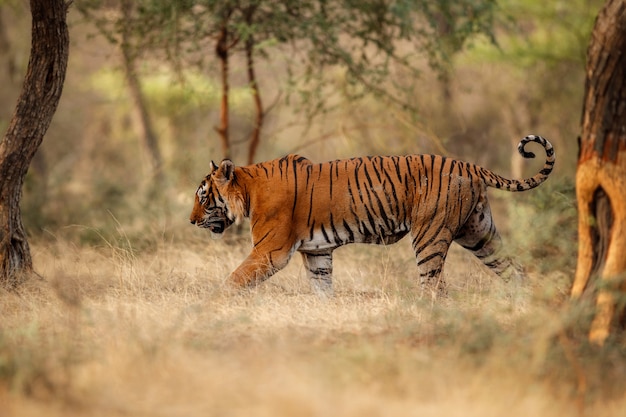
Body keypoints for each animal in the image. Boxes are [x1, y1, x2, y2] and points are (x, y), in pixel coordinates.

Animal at [188, 134, 552, 296]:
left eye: (203, 197)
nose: (190, 221)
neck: (248, 190)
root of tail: (468, 165)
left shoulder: (269, 251)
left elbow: (234, 278)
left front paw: (212, 302)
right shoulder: (317, 253)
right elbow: (322, 289)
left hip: (429, 235)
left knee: (434, 285)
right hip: (479, 233)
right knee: (514, 269)